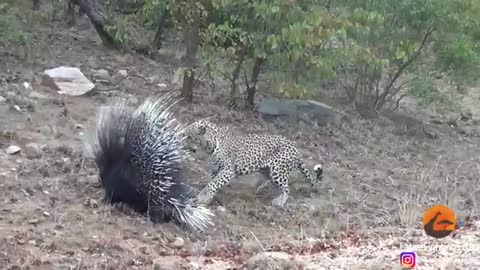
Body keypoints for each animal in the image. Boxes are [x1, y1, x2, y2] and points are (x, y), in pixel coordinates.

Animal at [183, 118, 322, 209]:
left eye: (189, 136)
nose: (182, 143)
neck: (211, 144)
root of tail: (296, 150)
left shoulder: (228, 170)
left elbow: (213, 183)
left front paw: (203, 198)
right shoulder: (216, 168)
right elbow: (211, 182)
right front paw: (206, 195)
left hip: (278, 170)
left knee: (287, 188)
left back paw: (279, 202)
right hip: (267, 169)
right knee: (272, 180)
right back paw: (259, 188)